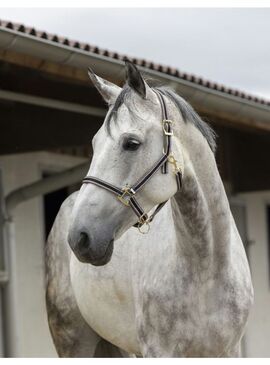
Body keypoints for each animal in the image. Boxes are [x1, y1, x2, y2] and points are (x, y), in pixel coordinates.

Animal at [45, 61, 254, 356]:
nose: (80, 237)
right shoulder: (159, 350)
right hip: (73, 341)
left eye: (131, 143)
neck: (208, 271)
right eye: (95, 144)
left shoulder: (229, 350)